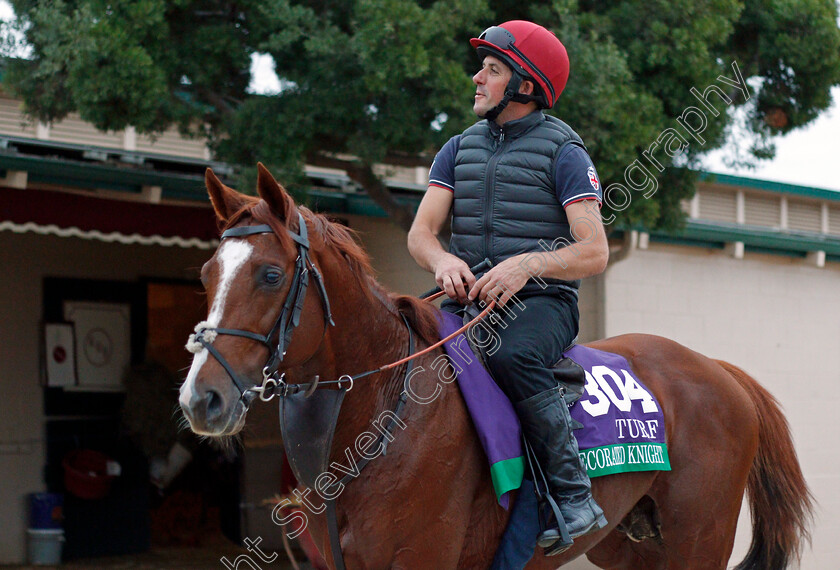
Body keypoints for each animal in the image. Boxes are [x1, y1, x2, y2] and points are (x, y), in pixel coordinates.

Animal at [179, 162, 812, 564]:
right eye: (207, 273)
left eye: (270, 275)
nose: (200, 398)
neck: (384, 409)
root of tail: (718, 369)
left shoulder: (421, 558)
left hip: (699, 538)